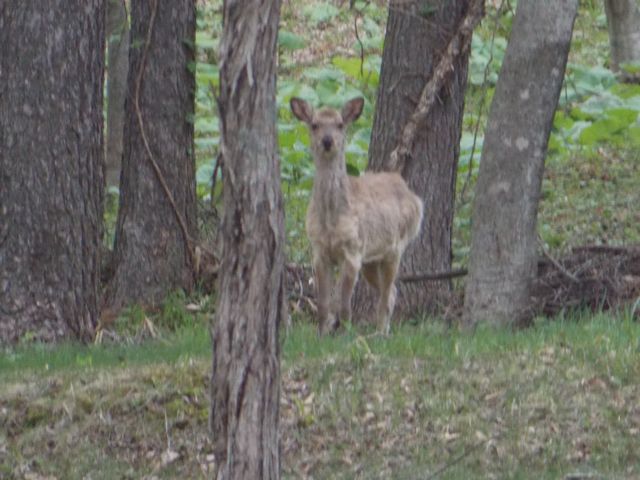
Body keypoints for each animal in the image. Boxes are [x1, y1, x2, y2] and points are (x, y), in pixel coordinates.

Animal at [292, 96, 424, 336]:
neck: (331, 219)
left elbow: (344, 303)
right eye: (314, 124)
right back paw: (382, 330)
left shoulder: (352, 250)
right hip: (371, 260)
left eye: (340, 124)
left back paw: (380, 333)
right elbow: (324, 302)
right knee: (391, 293)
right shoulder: (319, 251)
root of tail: (414, 198)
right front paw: (322, 333)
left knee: (387, 295)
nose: (327, 141)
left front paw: (344, 333)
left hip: (395, 247)